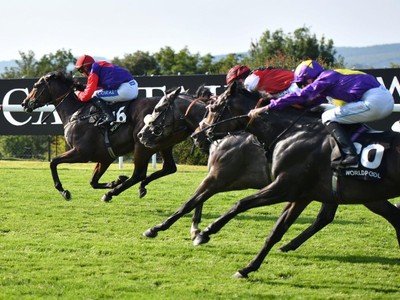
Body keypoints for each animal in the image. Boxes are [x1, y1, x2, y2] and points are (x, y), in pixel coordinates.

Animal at [21, 70, 195, 202]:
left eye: (36, 85)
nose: (24, 103)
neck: (77, 113)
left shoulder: (81, 153)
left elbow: (53, 162)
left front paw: (64, 191)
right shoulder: (105, 157)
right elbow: (93, 182)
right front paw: (115, 181)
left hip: (142, 144)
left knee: (139, 174)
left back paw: (112, 193)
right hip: (163, 143)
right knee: (168, 168)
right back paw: (138, 187)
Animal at [138, 85, 340, 250]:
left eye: (158, 108)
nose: (141, 135)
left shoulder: (219, 177)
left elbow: (190, 202)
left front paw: (159, 228)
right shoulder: (222, 178)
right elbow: (198, 199)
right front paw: (196, 229)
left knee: (324, 217)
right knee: (325, 217)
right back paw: (288, 245)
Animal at [191, 81, 400, 278]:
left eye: (212, 107)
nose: (198, 135)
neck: (293, 133)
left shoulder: (283, 186)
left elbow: (239, 204)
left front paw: (204, 233)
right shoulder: (301, 195)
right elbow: (276, 230)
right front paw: (247, 268)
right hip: (364, 194)